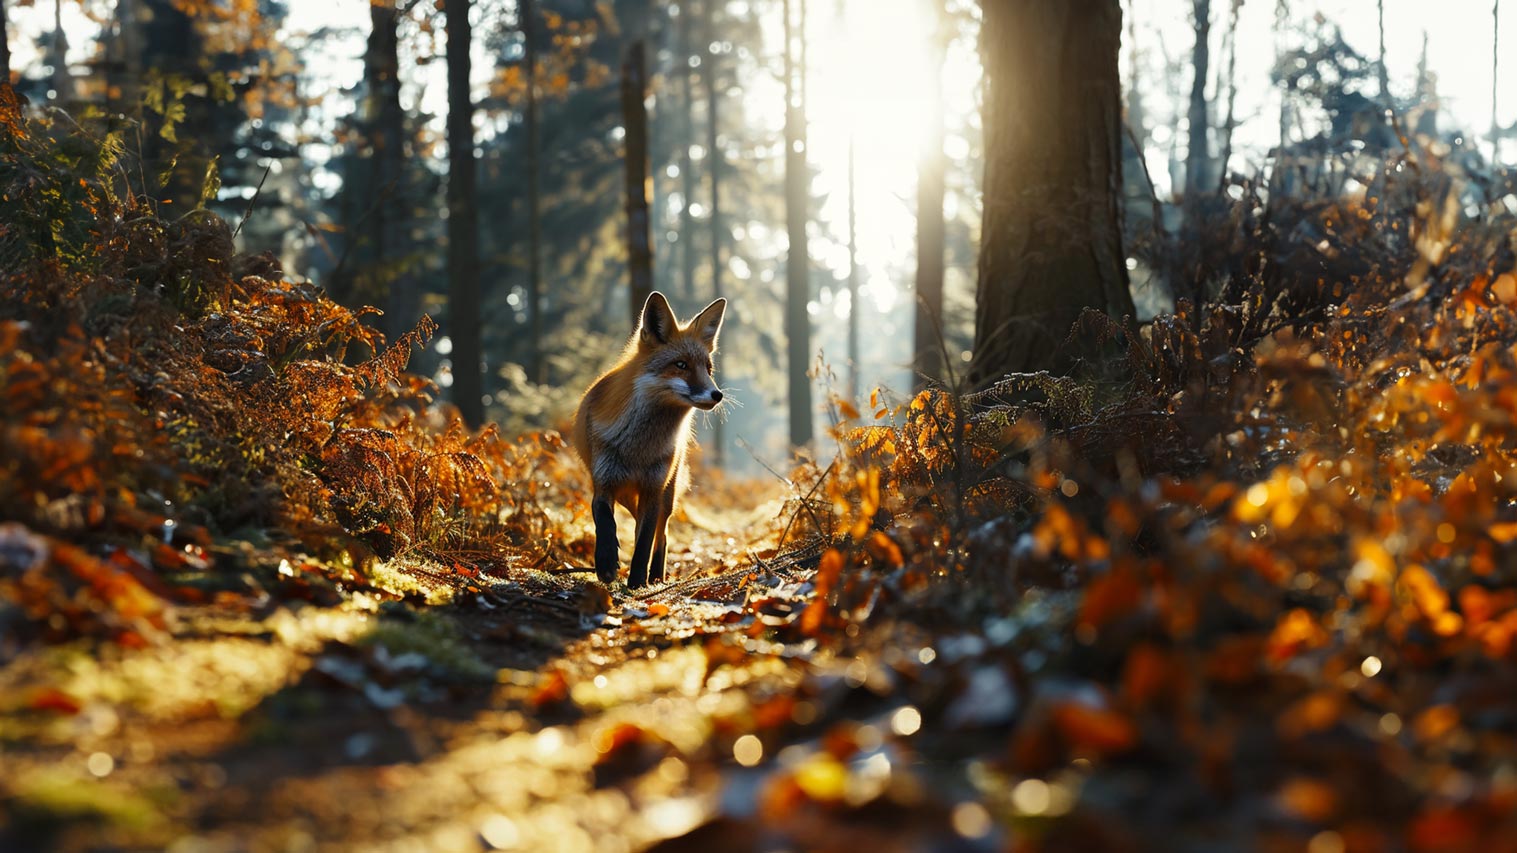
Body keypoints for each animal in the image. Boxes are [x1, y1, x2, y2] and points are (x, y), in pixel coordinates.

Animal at [573, 289, 728, 582]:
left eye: (708, 369)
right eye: (681, 364)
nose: (717, 395)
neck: (639, 449)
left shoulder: (654, 488)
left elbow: (645, 541)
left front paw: (636, 581)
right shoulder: (604, 482)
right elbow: (604, 520)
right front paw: (606, 562)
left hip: (667, 495)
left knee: (662, 533)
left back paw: (655, 575)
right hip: (627, 495)